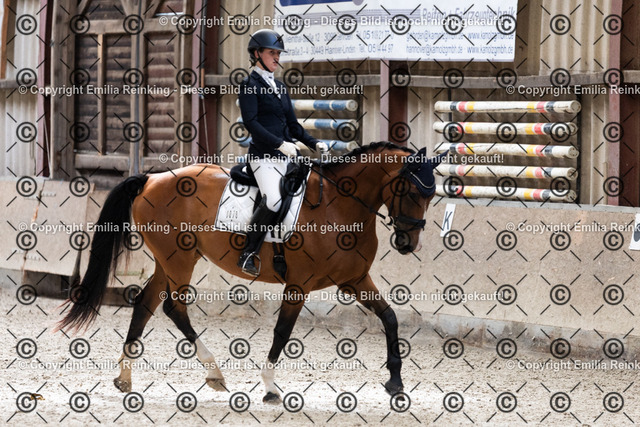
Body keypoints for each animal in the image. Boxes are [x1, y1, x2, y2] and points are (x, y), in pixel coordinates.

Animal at [58, 141, 443, 403]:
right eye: (411, 190)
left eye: (431, 195)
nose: (408, 243)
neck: (341, 205)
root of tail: (152, 178)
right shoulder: (298, 285)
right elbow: (282, 333)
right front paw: (270, 387)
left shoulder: (354, 281)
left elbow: (390, 317)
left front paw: (395, 383)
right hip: (179, 259)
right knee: (172, 307)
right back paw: (214, 373)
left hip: (168, 261)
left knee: (145, 305)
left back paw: (125, 377)